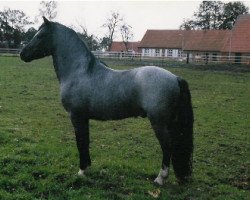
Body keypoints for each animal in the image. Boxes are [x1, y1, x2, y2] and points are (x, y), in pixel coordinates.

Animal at [20, 16, 194, 184]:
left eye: (40, 36)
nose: (22, 53)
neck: (80, 72)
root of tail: (175, 78)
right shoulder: (84, 118)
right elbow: (86, 141)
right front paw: (87, 168)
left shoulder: (76, 116)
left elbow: (80, 142)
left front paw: (81, 171)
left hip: (159, 122)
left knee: (167, 146)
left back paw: (160, 179)